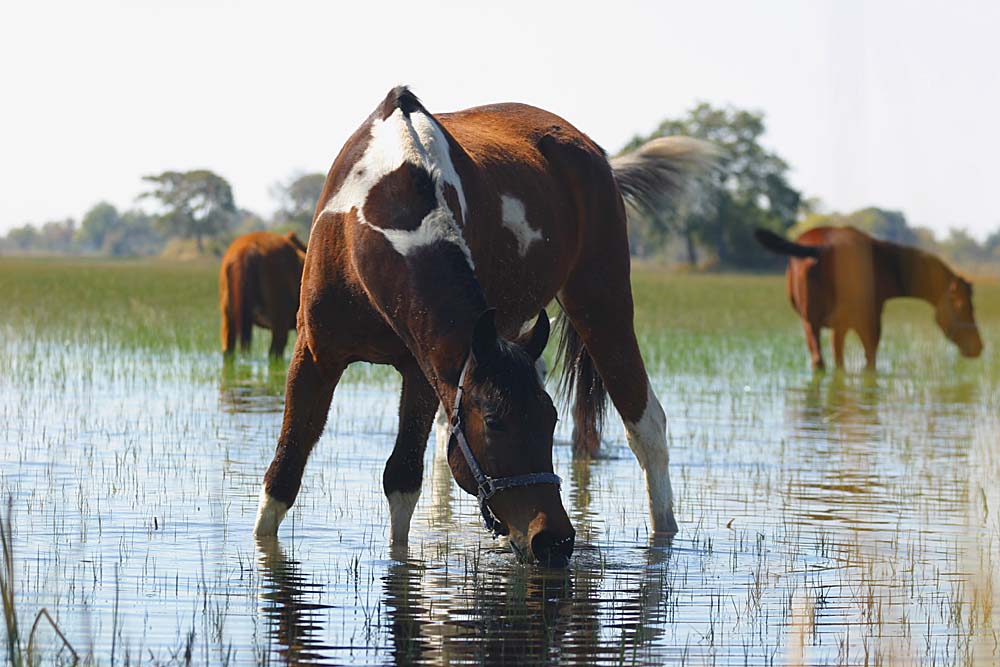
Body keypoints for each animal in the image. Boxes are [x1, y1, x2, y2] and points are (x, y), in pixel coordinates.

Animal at [254, 85, 716, 564]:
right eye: (494, 422)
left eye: (550, 418)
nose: (555, 540)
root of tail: (593, 152)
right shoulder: (316, 356)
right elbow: (283, 475)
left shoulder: (420, 368)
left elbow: (401, 481)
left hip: (603, 309)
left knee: (647, 428)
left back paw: (664, 537)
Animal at [752, 227, 980, 368]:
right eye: (963, 305)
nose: (978, 346)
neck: (886, 263)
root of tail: (820, 249)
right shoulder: (868, 321)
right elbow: (868, 361)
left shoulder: (839, 325)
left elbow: (840, 361)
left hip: (810, 322)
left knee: (819, 361)